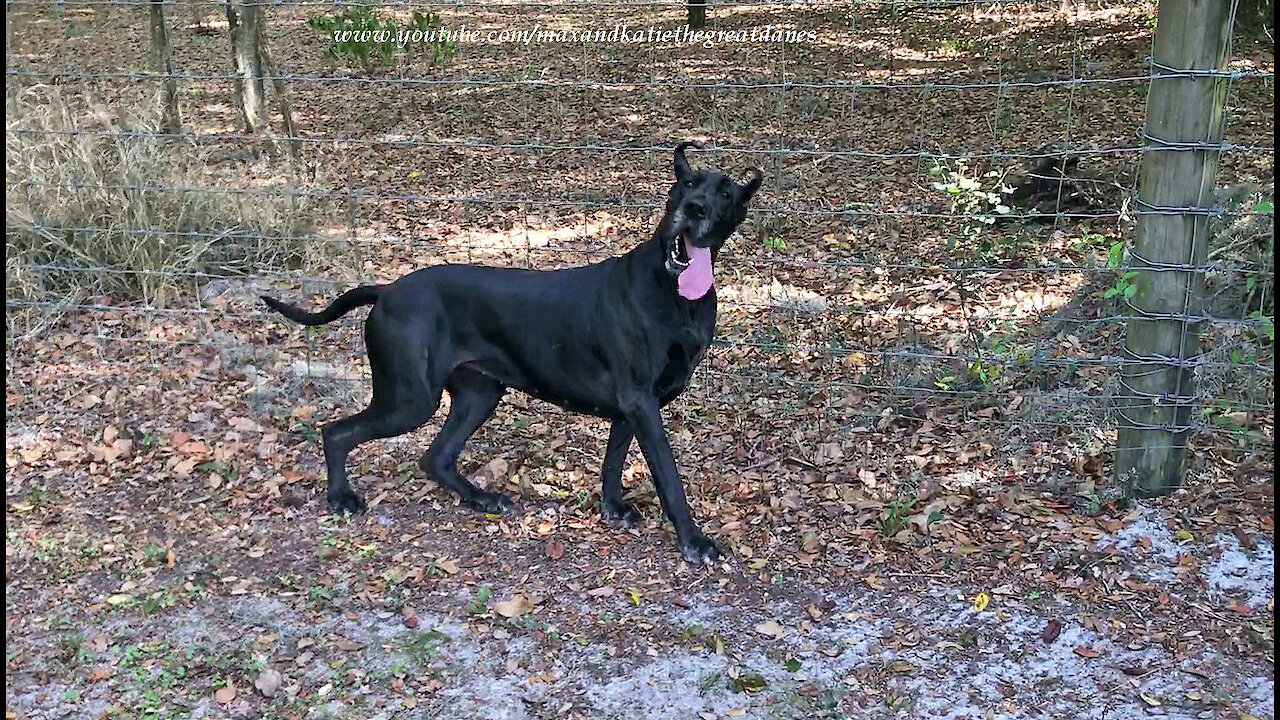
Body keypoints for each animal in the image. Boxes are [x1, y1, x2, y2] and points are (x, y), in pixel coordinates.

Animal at [259, 142, 757, 561]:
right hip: (409, 399)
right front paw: (693, 540)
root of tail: (386, 291)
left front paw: (613, 507)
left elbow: (615, 458)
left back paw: (482, 497)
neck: (674, 292)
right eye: (686, 184)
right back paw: (341, 498)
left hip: (479, 393)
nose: (694, 209)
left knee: (435, 456)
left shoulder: (632, 405)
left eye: (726, 192)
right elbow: (668, 476)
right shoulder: (641, 402)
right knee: (337, 432)